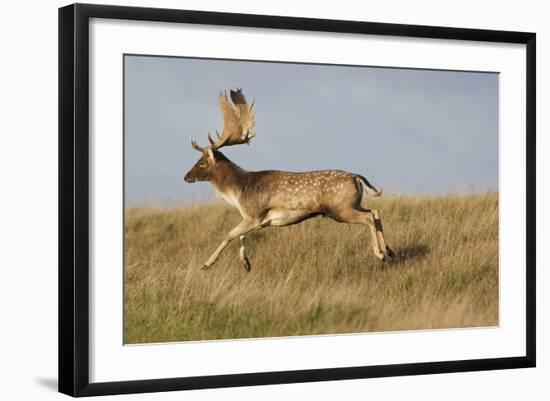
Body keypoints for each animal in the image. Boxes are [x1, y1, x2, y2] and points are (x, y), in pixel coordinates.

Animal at [185, 86, 392, 268]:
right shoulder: (258, 221)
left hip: (341, 208)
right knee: (375, 211)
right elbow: (240, 235)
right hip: (352, 203)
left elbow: (229, 234)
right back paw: (389, 251)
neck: (239, 192)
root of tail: (356, 177)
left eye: (202, 162)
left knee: (368, 217)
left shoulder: (254, 214)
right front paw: (246, 264)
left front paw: (207, 264)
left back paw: (380, 254)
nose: (186, 177)